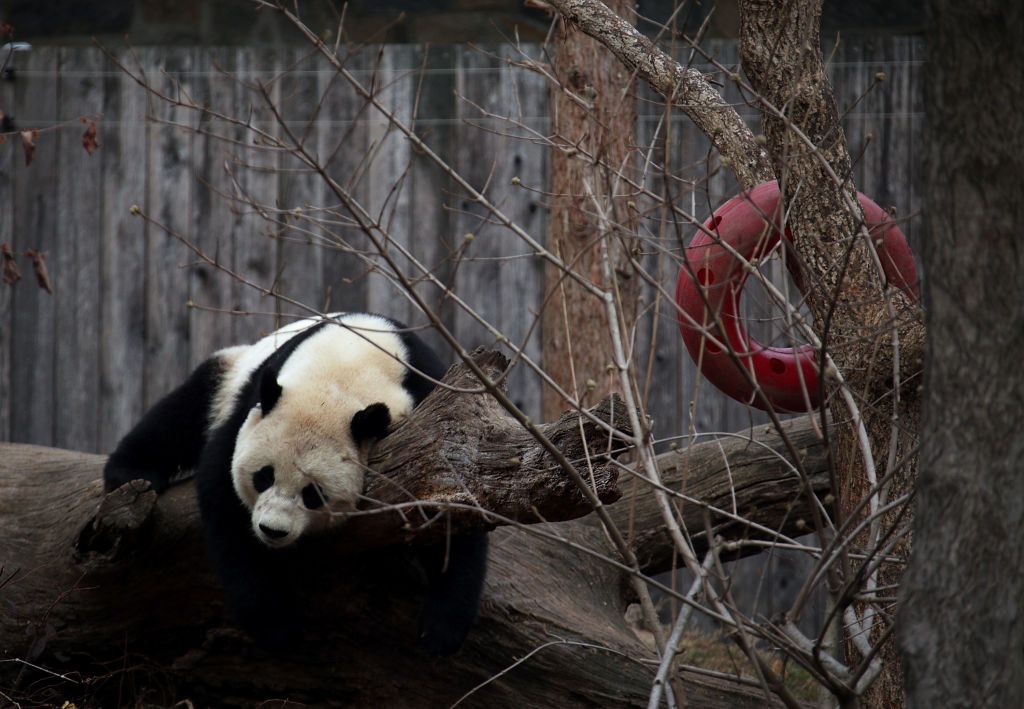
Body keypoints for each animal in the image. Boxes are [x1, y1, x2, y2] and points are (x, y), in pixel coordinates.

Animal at [103, 313, 487, 655]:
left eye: (313, 494)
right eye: (263, 476)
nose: (272, 530)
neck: (344, 371)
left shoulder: (430, 405)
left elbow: (453, 498)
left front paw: (440, 632)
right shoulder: (253, 407)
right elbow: (223, 493)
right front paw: (275, 627)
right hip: (229, 371)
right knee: (182, 412)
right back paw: (127, 472)